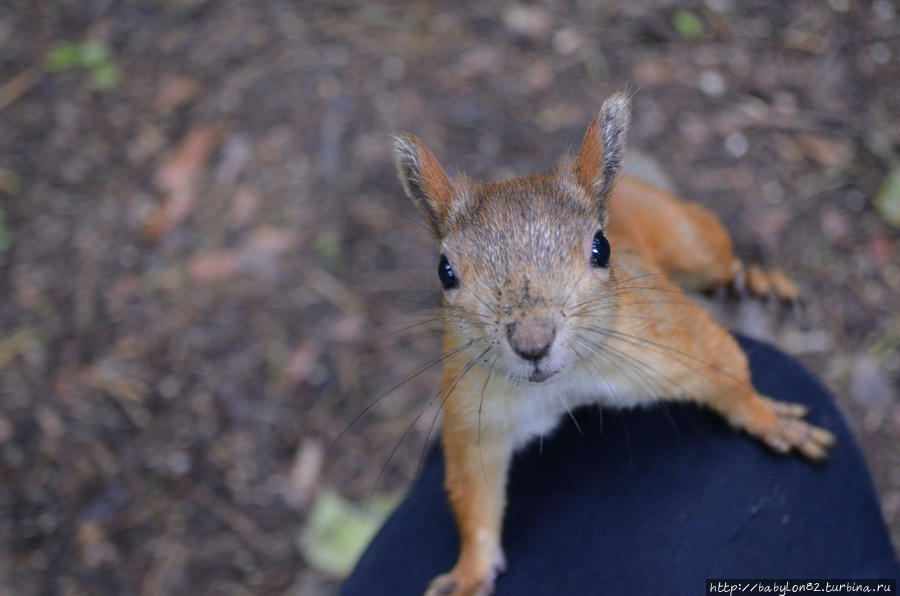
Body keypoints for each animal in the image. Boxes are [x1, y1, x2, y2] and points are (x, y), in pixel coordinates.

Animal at [390, 89, 832, 596]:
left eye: (601, 248)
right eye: (445, 272)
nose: (532, 343)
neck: (563, 384)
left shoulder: (665, 335)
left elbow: (723, 366)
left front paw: (770, 420)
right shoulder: (476, 412)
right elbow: (474, 492)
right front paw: (471, 571)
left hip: (688, 240)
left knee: (722, 264)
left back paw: (758, 283)